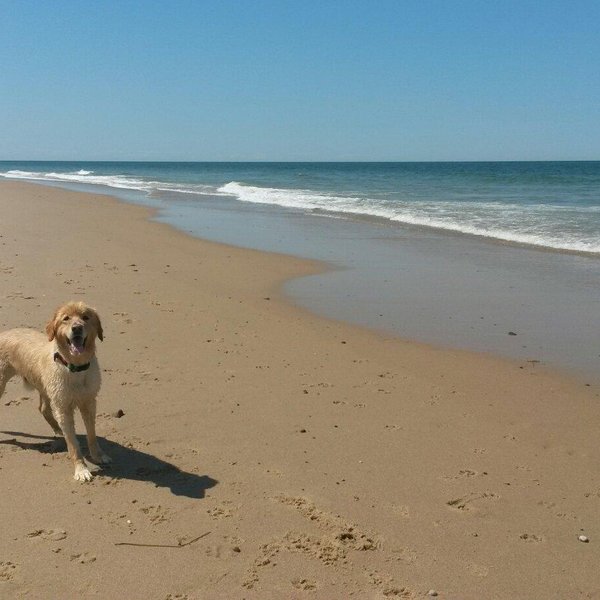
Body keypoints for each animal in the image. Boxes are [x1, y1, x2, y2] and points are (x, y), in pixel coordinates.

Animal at [0, 302, 110, 480]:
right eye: (66, 318)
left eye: (85, 317)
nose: (77, 328)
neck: (75, 368)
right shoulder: (63, 408)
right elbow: (73, 445)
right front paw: (81, 469)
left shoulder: (89, 402)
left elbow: (92, 434)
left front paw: (98, 455)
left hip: (44, 386)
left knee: (43, 408)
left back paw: (57, 429)